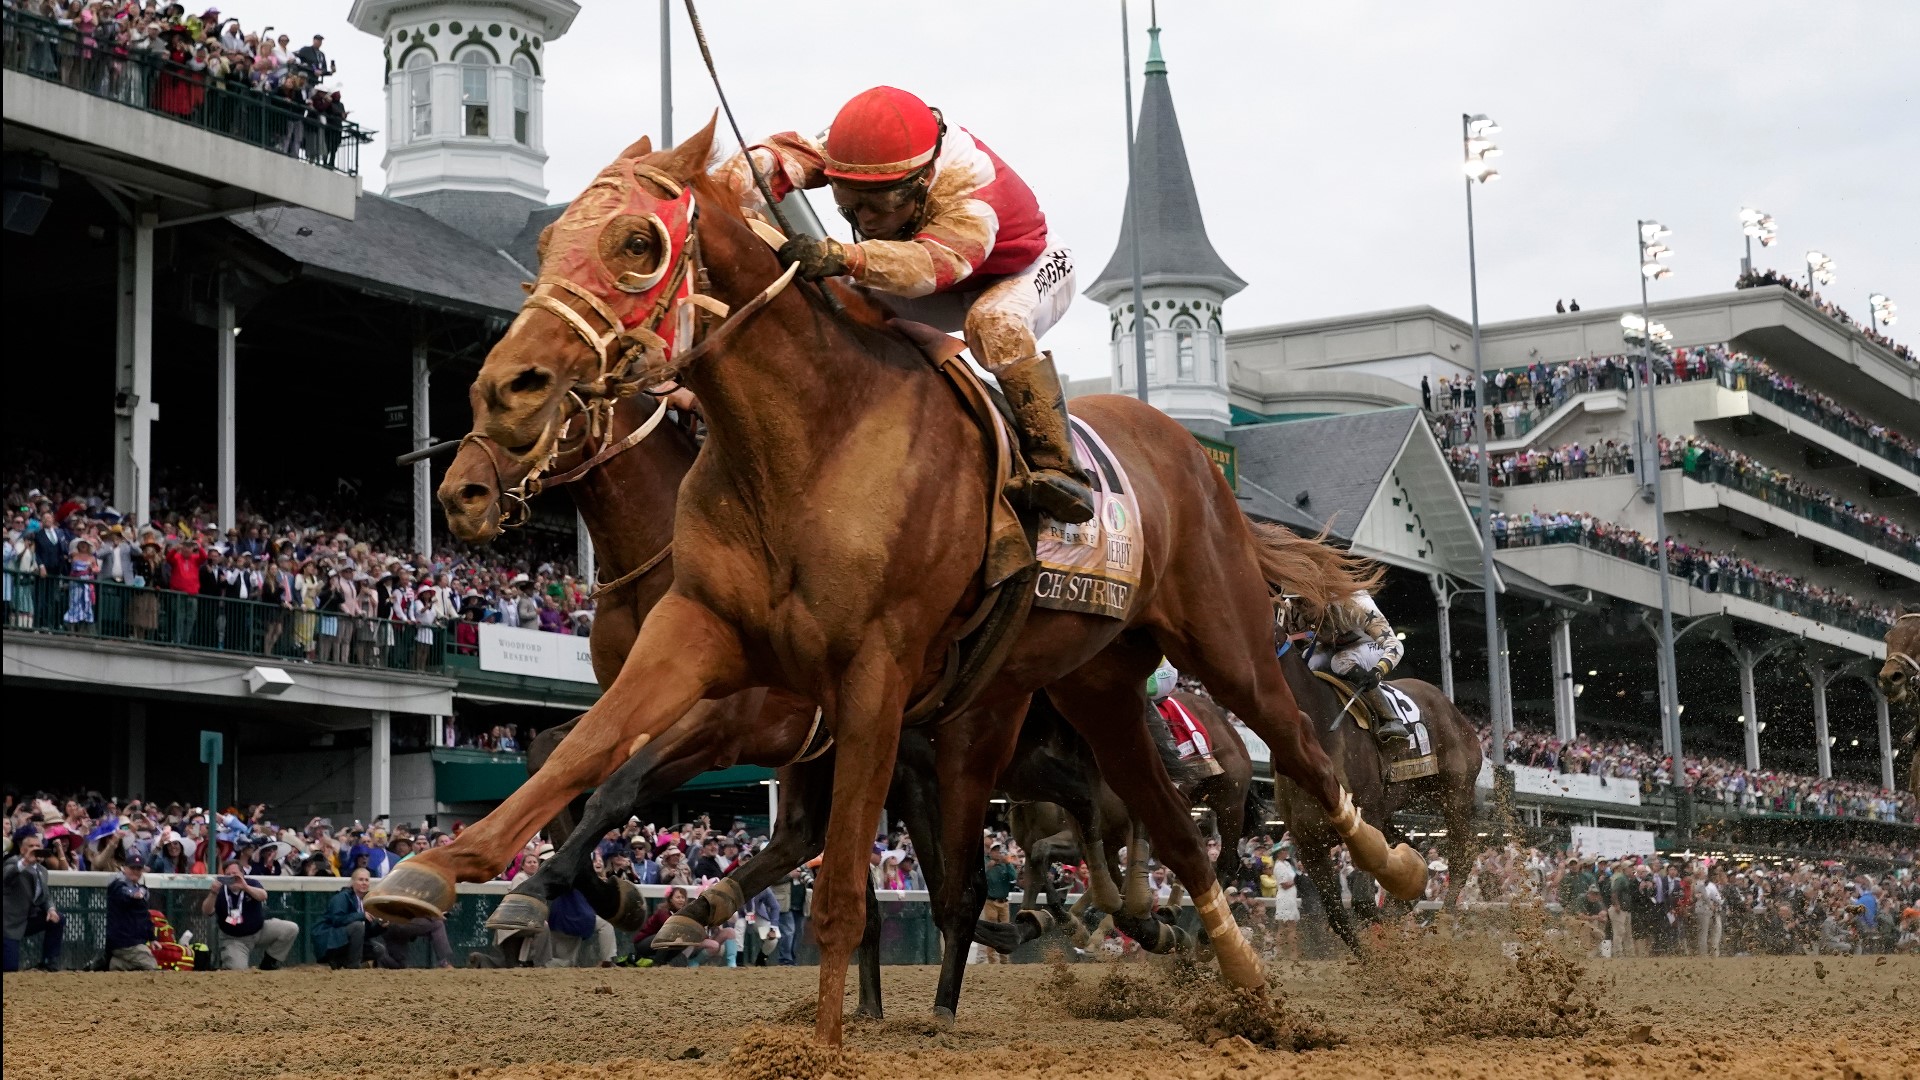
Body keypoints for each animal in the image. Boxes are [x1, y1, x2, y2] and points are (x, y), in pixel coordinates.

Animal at [370, 119, 1428, 1045]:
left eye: (638, 241)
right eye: (551, 240)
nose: (489, 423)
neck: (808, 444)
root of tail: (1196, 459)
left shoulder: (845, 685)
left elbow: (830, 880)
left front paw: (823, 1037)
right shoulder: (705, 639)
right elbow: (579, 757)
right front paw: (447, 874)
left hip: (1219, 642)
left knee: (1299, 760)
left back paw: (1398, 871)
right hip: (1095, 690)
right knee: (1162, 832)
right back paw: (1233, 975)